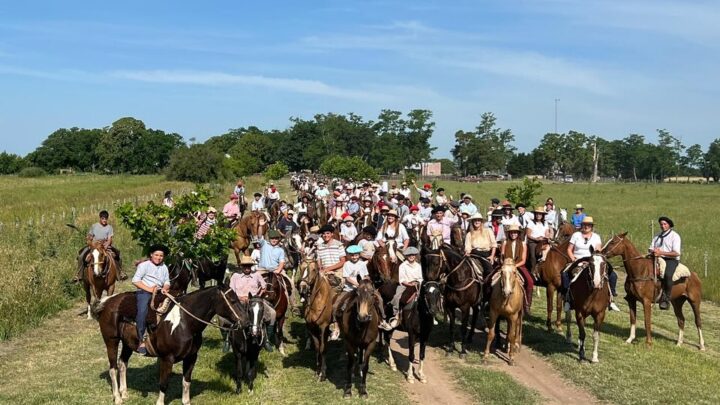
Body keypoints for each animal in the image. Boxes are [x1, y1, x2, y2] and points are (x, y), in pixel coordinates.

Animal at [93, 284, 246, 404]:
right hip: (111, 341)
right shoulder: (167, 358)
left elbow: (186, 382)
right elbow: (164, 384)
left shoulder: (191, 357)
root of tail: (107, 302)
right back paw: (117, 398)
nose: (246, 321)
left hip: (127, 344)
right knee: (113, 368)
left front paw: (186, 401)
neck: (185, 322)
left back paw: (124, 393)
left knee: (122, 364)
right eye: (232, 300)